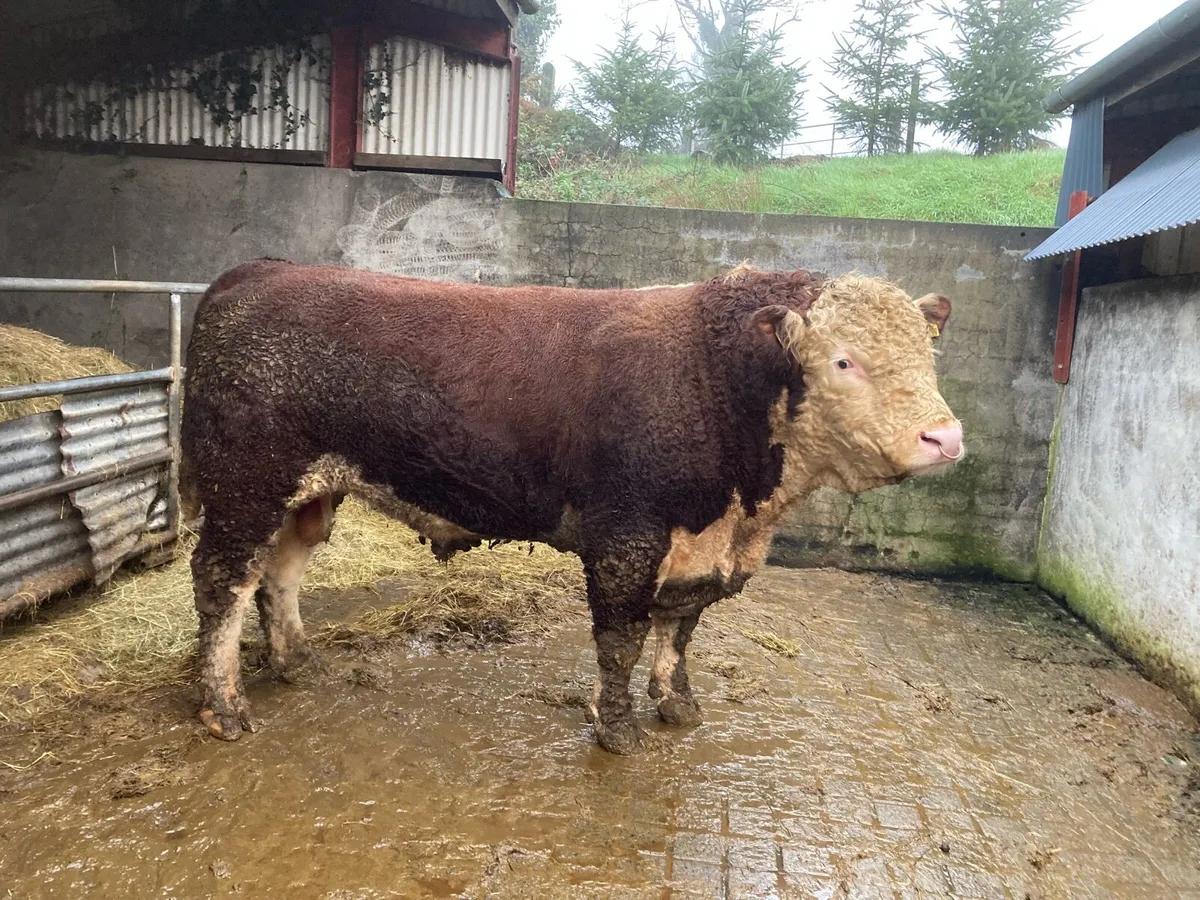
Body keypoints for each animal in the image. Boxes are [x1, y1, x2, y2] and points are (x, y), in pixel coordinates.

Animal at [180, 259, 964, 754]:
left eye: (926, 357)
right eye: (843, 360)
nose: (945, 436)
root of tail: (260, 271)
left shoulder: (699, 546)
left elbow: (680, 629)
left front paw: (679, 705)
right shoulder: (628, 535)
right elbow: (622, 638)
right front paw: (618, 729)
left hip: (305, 493)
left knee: (279, 573)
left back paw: (295, 662)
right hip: (243, 484)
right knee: (223, 582)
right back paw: (224, 707)